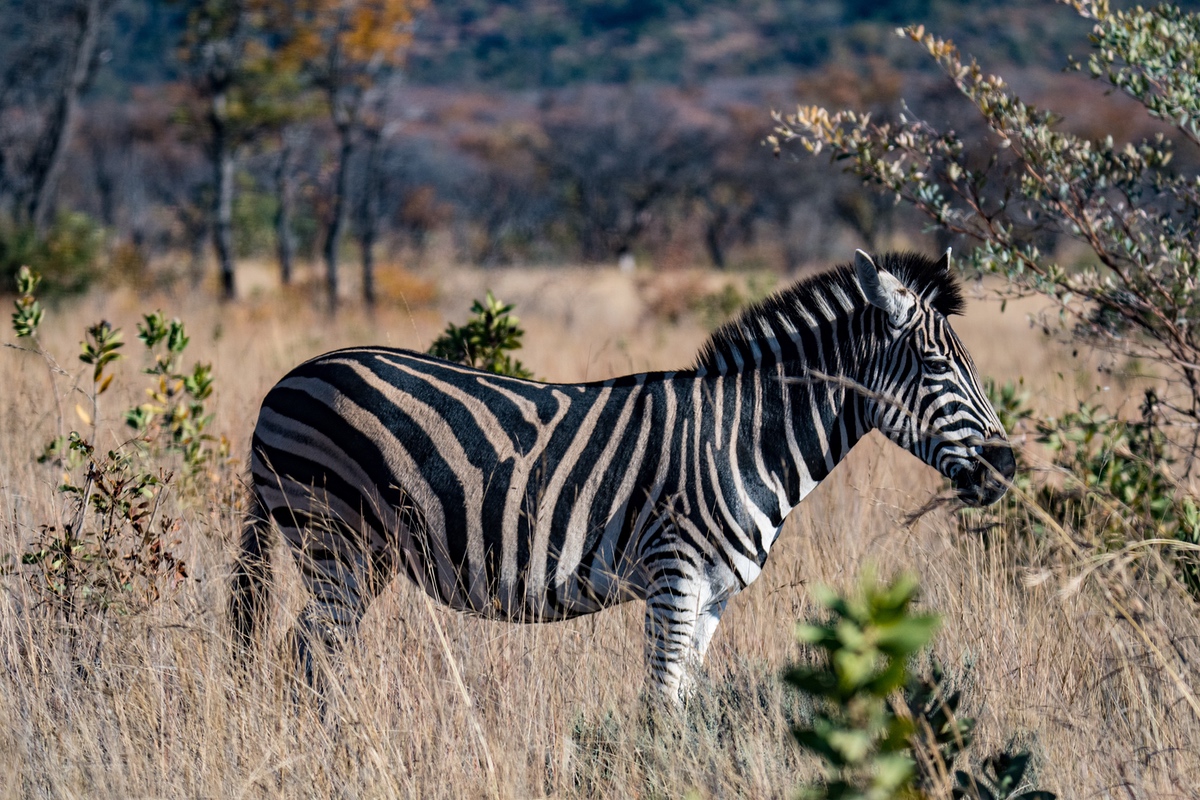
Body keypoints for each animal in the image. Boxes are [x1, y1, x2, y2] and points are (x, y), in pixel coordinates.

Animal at [230, 249, 1015, 702]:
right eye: (938, 367)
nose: (1006, 468)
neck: (745, 440)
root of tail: (282, 383)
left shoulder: (712, 597)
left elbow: (685, 703)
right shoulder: (674, 575)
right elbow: (660, 704)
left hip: (350, 551)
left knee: (302, 655)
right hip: (336, 541)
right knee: (308, 657)